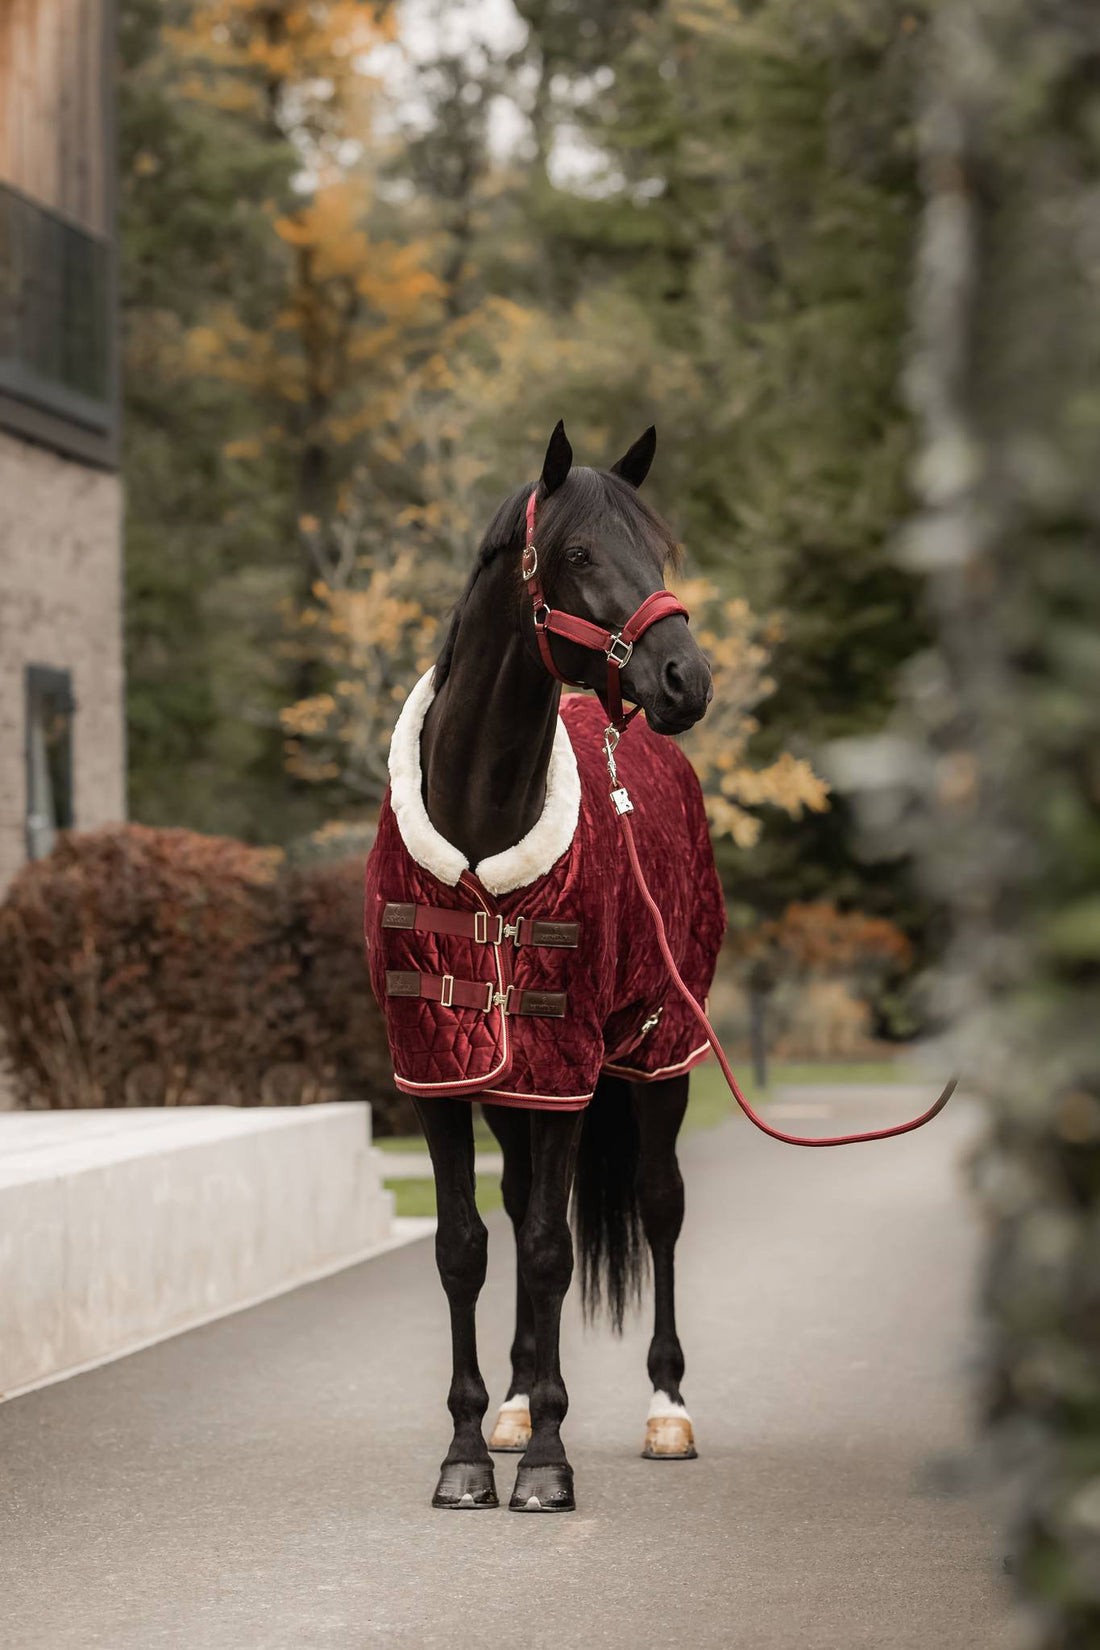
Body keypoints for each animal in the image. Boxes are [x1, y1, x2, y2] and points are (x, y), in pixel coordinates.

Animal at [390, 422, 719, 1511]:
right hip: (515, 1089)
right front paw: (467, 1452)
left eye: (657, 550)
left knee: (659, 1207)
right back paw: (518, 1399)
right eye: (579, 553)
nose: (686, 679)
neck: (479, 830)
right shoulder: (438, 1073)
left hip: (659, 1052)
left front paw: (547, 1465)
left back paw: (666, 1409)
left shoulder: (568, 1072)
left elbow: (548, 1250)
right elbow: (466, 1249)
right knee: (519, 1205)